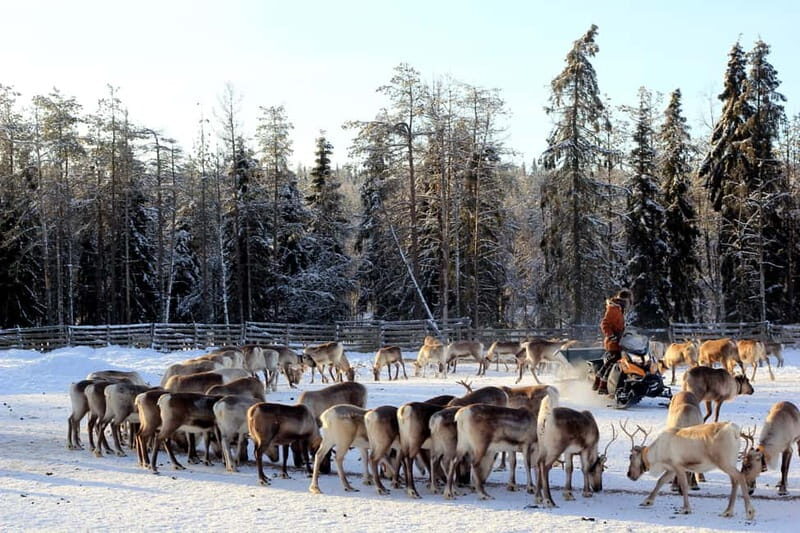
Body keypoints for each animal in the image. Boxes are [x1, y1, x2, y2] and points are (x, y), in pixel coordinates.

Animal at [621, 420, 755, 519]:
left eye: (631, 456)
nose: (628, 474)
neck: (657, 453)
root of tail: (735, 430)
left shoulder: (678, 466)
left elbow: (684, 486)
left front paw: (686, 509)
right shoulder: (671, 469)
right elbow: (660, 481)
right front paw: (647, 501)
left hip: (724, 462)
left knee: (740, 477)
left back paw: (749, 512)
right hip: (731, 462)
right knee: (734, 481)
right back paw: (728, 511)